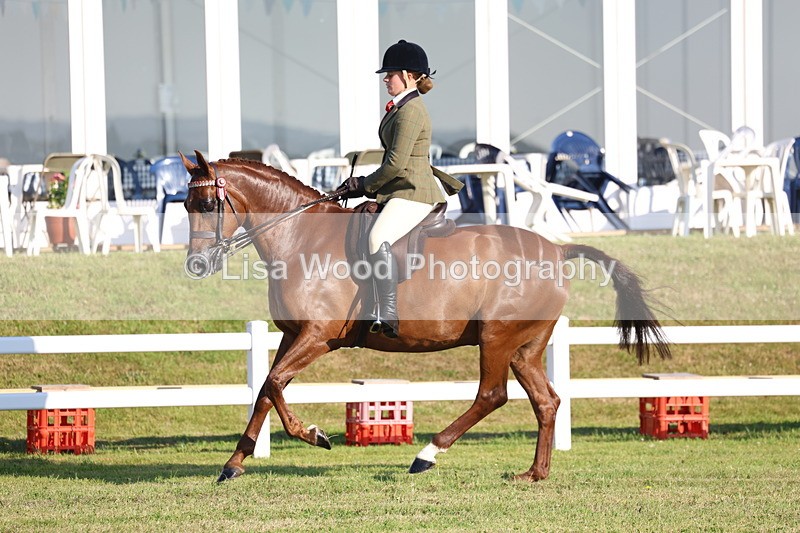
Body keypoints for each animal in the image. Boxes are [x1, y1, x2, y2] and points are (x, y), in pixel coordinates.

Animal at [179, 150, 670, 483]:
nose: (197, 266)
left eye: (207, 206)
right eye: (185, 206)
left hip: (496, 338)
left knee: (491, 396)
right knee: (545, 401)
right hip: (524, 347)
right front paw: (234, 463)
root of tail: (558, 250)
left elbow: (275, 383)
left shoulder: (318, 336)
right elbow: (267, 388)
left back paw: (427, 454)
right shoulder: (292, 335)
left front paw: (314, 434)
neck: (302, 236)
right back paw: (534, 473)